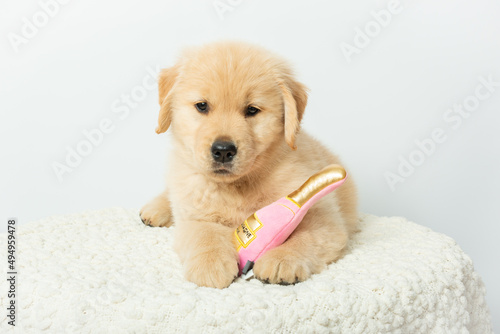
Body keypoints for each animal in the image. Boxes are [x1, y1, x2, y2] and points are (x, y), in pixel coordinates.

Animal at [141, 41, 358, 288]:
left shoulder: (325, 219)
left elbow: (306, 236)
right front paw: (210, 264)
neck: (239, 186)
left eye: (252, 110)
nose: (223, 150)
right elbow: (204, 233)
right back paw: (155, 209)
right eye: (202, 106)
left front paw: (281, 260)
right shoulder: (192, 212)